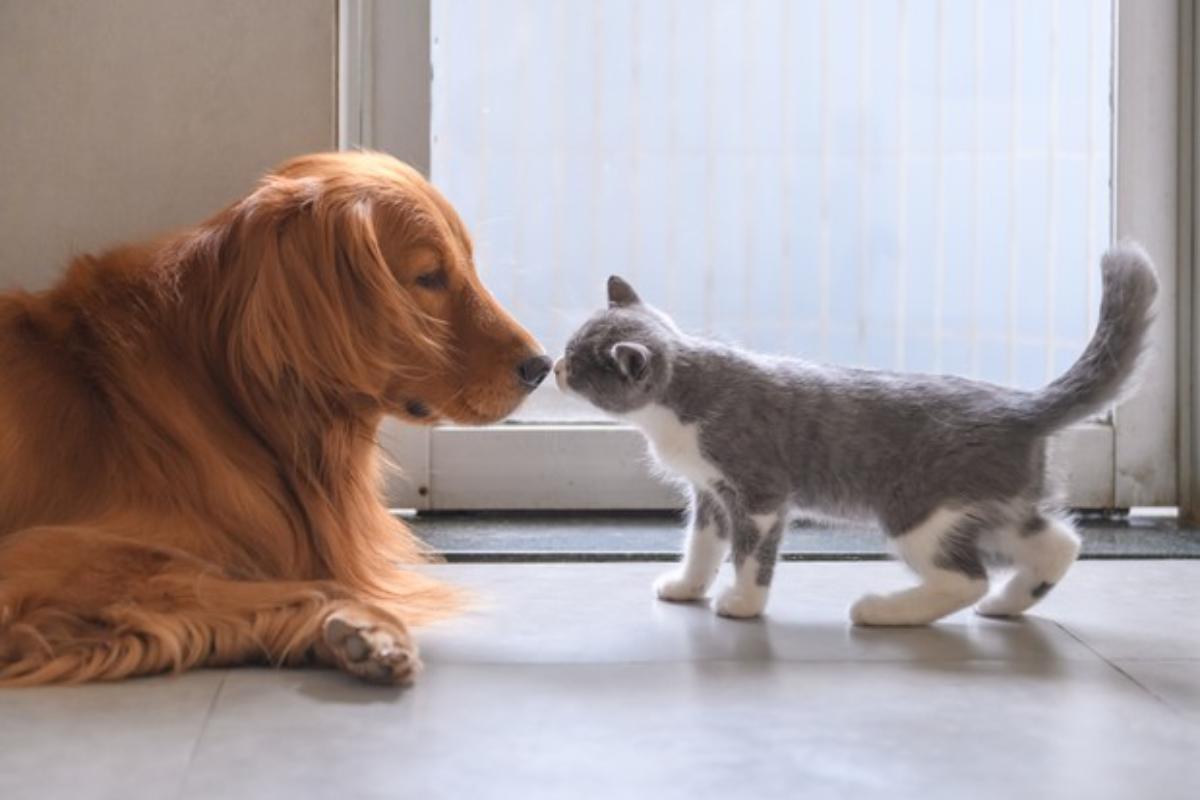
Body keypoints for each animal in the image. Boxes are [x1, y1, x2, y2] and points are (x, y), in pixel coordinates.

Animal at [0, 151, 549, 690]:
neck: (225, 393)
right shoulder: (41, 551)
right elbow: (252, 582)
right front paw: (361, 625)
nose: (541, 365)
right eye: (429, 277)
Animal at [549, 245, 1152, 623]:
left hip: (920, 513)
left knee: (966, 577)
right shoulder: (711, 493)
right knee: (1059, 543)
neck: (681, 403)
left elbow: (750, 553)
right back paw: (1009, 603)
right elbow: (703, 544)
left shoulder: (761, 494)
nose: (553, 367)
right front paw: (687, 586)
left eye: (579, 363)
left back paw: (884, 610)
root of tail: (1021, 406)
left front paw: (743, 603)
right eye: (568, 349)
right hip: (995, 507)